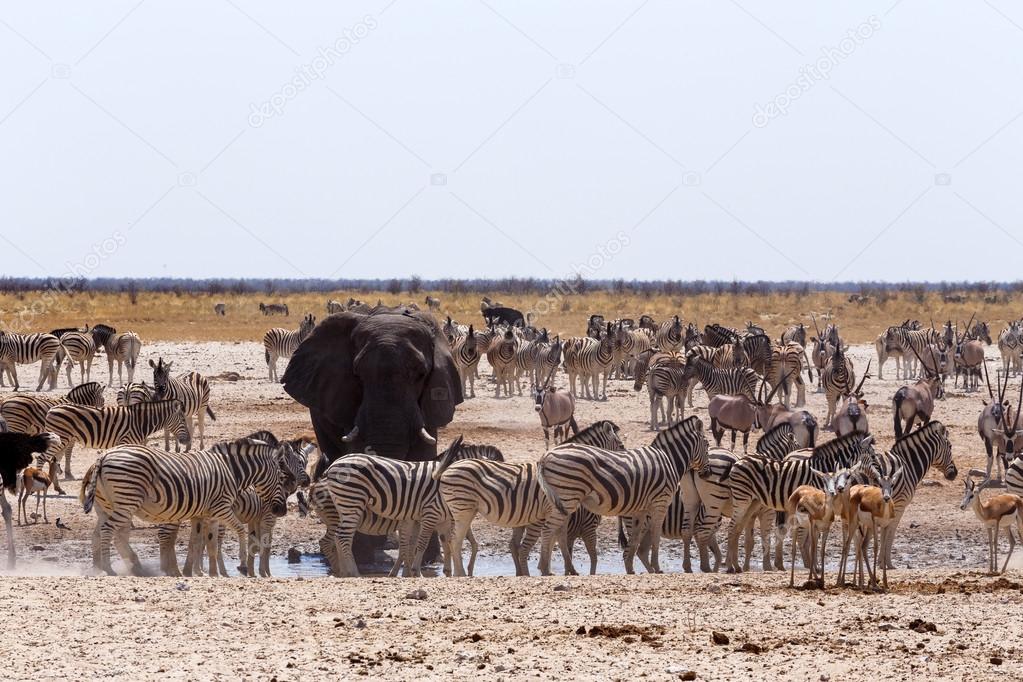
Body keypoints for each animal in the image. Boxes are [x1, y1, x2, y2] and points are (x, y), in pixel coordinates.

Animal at [42, 396, 191, 478]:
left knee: (54, 460)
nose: (188, 441)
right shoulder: (125, 440)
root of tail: (52, 409)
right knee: (42, 458)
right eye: (183, 420)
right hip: (61, 437)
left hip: (63, 439)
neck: (140, 421)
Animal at [80, 437, 292, 576]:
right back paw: (108, 568)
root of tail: (103, 456)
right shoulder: (221, 508)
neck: (231, 470)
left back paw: (108, 567)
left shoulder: (204, 514)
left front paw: (199, 572)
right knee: (109, 531)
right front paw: (241, 564)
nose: (282, 511)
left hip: (108, 506)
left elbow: (202, 543)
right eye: (282, 478)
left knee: (102, 534)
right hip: (126, 501)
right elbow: (239, 531)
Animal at [433, 421, 621, 576]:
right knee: (455, 540)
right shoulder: (553, 511)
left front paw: (561, 568)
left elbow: (557, 537)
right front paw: (555, 568)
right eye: (620, 444)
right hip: (463, 509)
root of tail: (447, 468)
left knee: (454, 540)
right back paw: (461, 574)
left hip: (465, 510)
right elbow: (555, 537)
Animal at [540, 417, 707, 576]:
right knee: (548, 529)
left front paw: (630, 567)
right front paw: (657, 568)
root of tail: (545, 456)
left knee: (559, 532)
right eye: (707, 444)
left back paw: (562, 568)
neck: (669, 459)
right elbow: (656, 535)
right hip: (567, 497)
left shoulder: (641, 509)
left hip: (563, 501)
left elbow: (635, 538)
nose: (706, 473)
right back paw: (545, 570)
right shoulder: (661, 502)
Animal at [867, 421, 953, 572]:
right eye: (950, 446)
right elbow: (890, 532)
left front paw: (881, 563)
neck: (908, 465)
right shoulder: (900, 505)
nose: (955, 474)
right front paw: (887, 563)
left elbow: (884, 531)